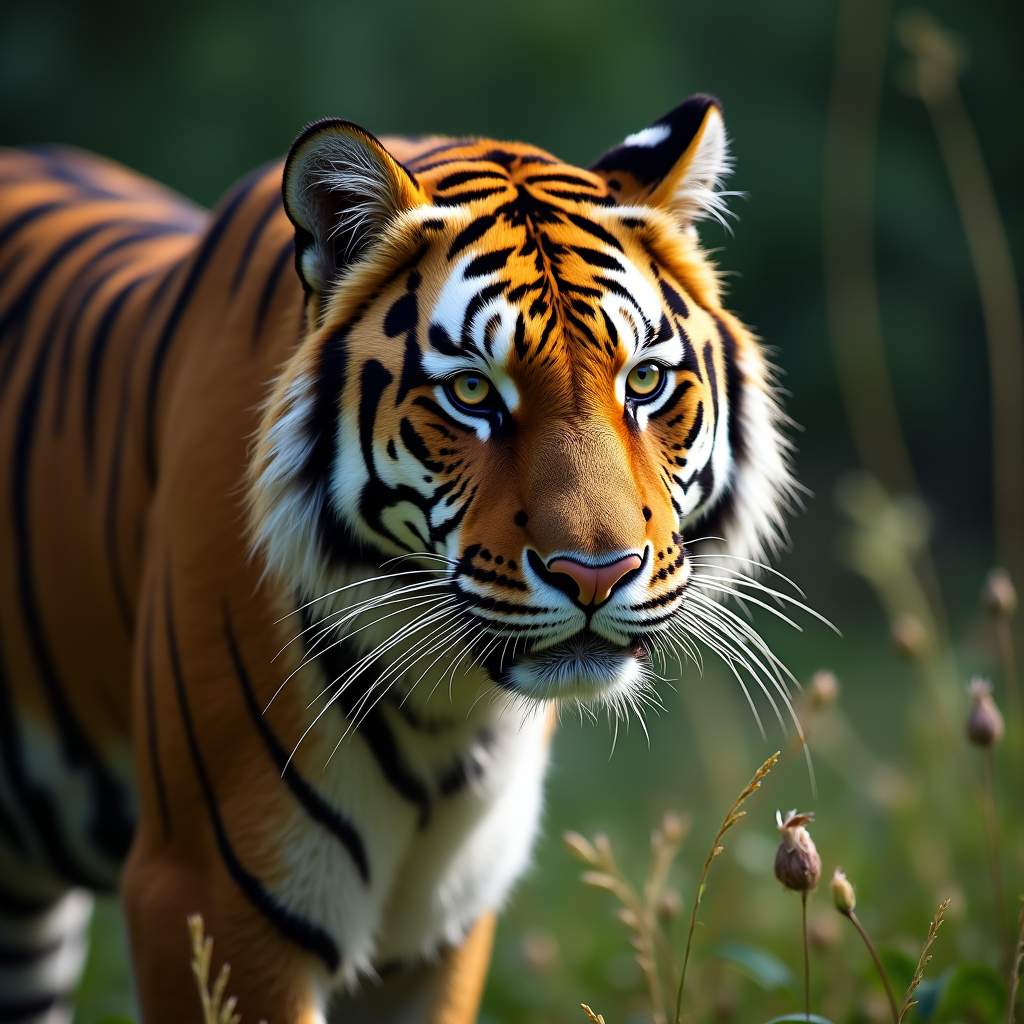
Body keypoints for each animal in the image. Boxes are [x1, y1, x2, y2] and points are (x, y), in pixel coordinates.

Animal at [0, 95, 794, 1023]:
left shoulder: (438, 931)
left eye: (643, 383)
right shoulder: (205, 895)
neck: (448, 716)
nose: (596, 574)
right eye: (474, 391)